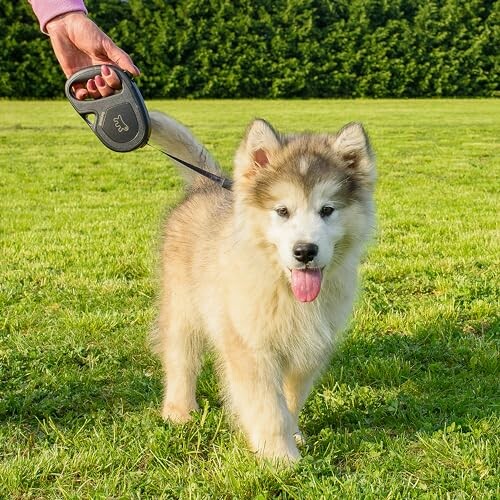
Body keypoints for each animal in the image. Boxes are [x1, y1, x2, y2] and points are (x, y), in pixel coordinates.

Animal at [148, 111, 376, 462]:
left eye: (327, 210)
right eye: (282, 211)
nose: (305, 251)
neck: (284, 288)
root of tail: (206, 185)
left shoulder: (309, 348)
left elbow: (290, 400)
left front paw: (293, 435)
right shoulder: (252, 348)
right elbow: (269, 408)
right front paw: (280, 458)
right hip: (183, 309)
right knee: (180, 359)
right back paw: (179, 411)